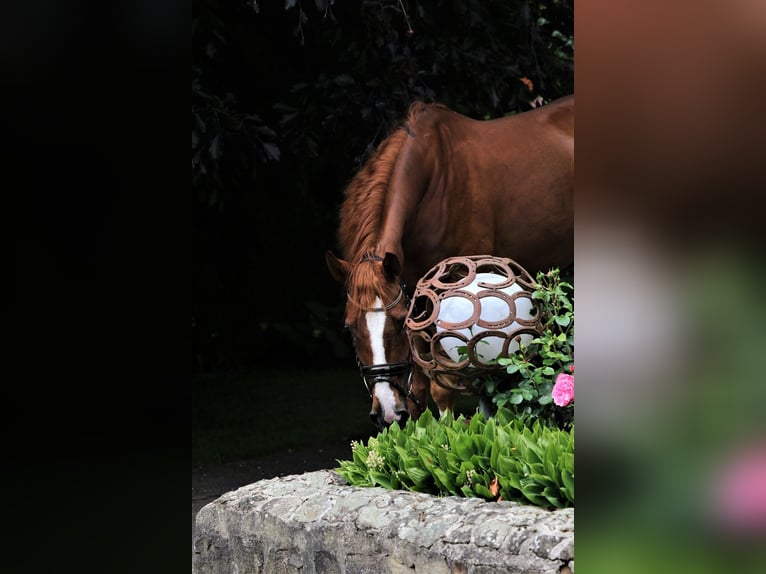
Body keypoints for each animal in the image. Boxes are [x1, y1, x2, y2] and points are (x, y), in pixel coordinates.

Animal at [326, 95, 574, 429]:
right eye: (350, 328)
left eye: (396, 323)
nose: (387, 413)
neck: (433, 180)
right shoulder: (414, 295)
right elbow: (418, 384)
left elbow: (443, 383)